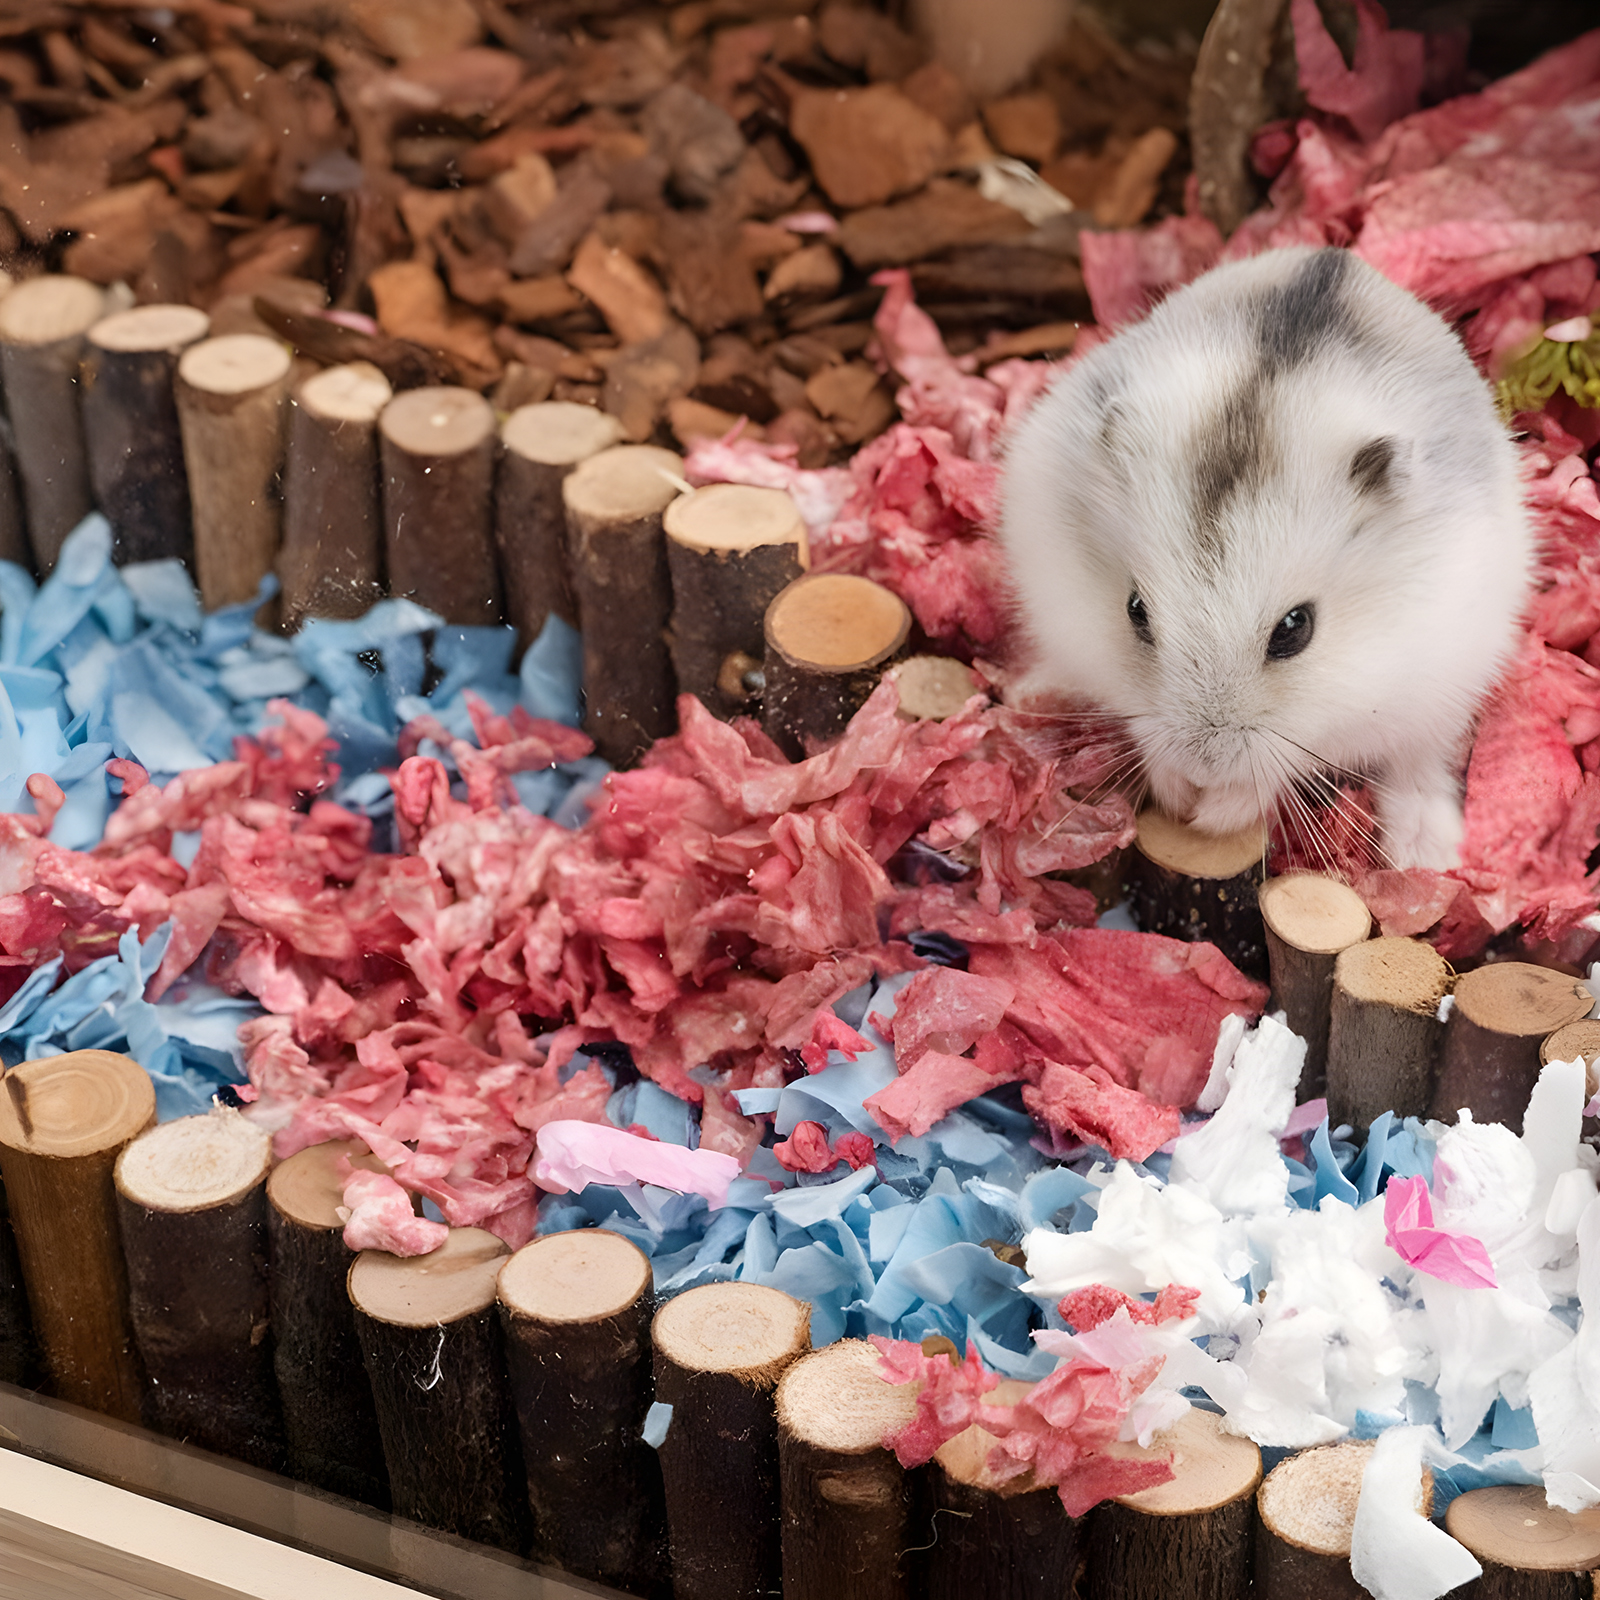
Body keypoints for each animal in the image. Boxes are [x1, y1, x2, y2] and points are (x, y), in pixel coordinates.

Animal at [999, 246, 1535, 871]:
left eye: (1295, 629)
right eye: (1135, 611)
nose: (1203, 766)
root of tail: (1337, 255)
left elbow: (1287, 761)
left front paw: (1209, 814)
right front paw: (1179, 795)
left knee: (1419, 759)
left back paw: (1425, 858)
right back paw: (1028, 694)